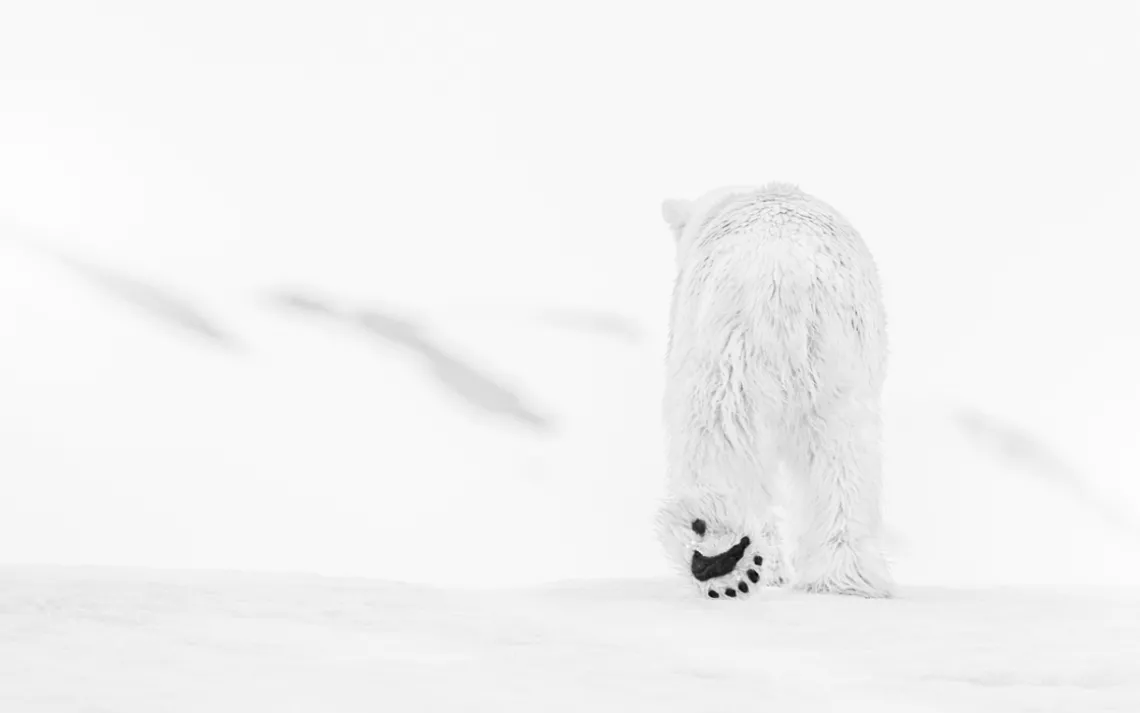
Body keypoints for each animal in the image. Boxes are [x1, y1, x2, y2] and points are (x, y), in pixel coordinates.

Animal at [656, 182, 894, 600]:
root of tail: (782, 274)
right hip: (837, 354)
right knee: (845, 451)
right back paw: (842, 577)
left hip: (725, 339)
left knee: (716, 432)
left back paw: (719, 556)